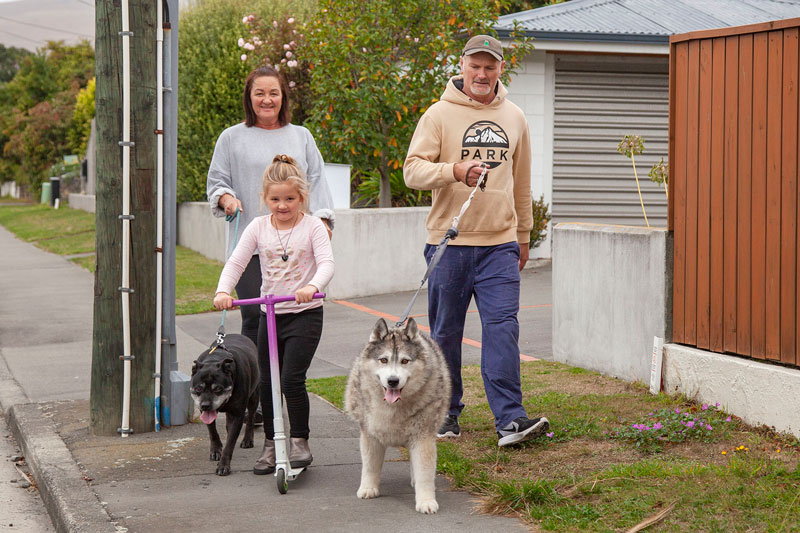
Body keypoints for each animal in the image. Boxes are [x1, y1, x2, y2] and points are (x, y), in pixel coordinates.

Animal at [191, 334, 260, 476]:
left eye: (218, 389)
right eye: (198, 389)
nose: (205, 405)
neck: (213, 360)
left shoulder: (238, 414)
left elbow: (230, 443)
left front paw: (223, 465)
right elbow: (212, 431)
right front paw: (216, 450)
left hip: (254, 397)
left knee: (250, 418)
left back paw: (247, 439)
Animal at [346, 318, 450, 512]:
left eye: (404, 361)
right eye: (383, 360)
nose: (392, 381)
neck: (393, 406)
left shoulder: (423, 437)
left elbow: (425, 472)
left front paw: (426, 500)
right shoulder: (370, 435)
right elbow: (370, 465)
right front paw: (368, 487)